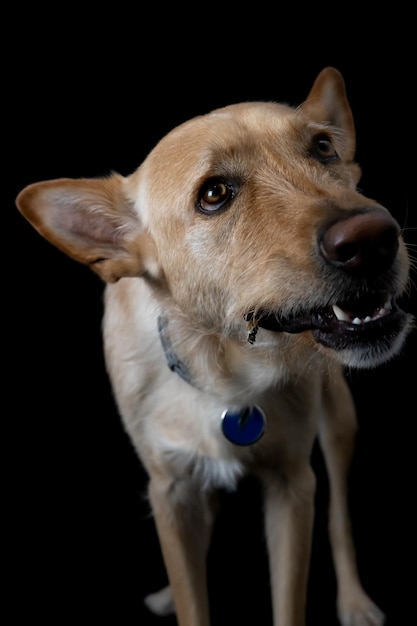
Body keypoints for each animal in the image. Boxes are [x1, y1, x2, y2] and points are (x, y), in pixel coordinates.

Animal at [15, 68, 410, 624]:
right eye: (214, 194)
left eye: (324, 148)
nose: (373, 239)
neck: (222, 371)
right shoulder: (169, 490)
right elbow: (190, 594)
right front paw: (178, 591)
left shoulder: (293, 485)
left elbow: (291, 599)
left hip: (339, 422)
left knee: (340, 516)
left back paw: (353, 601)